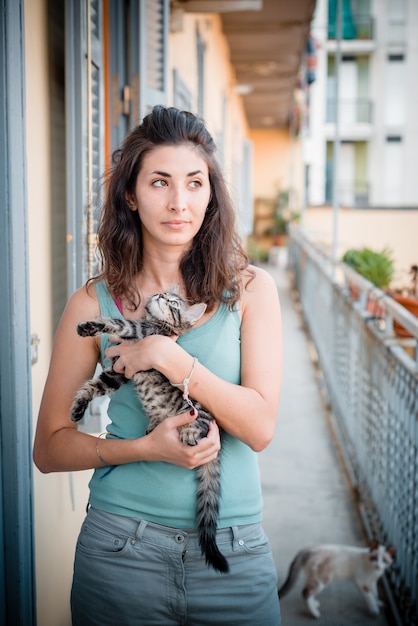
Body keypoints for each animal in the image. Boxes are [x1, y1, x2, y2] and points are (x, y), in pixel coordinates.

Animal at [71, 288, 229, 572]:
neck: (155, 323)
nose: (160, 295)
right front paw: (78, 407)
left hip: (196, 410)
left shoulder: (139, 333)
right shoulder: (118, 371)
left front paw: (88, 327)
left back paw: (188, 430)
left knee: (198, 425)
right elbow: (94, 386)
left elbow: (116, 322)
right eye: (165, 293)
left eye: (174, 302)